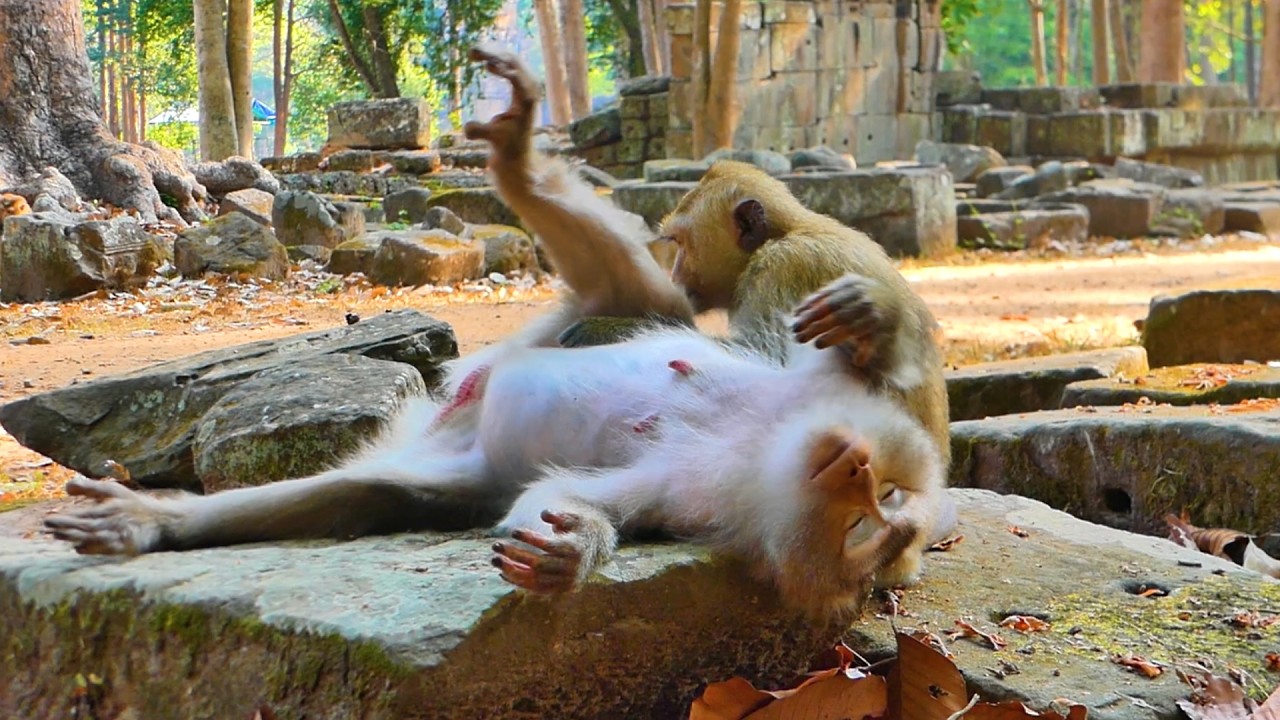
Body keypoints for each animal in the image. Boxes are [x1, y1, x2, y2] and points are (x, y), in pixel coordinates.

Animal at [41, 46, 956, 620]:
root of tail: (456, 405)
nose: (859, 468)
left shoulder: (706, 495)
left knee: (369, 492)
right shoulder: (820, 375)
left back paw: (163, 521)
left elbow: (568, 496)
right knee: (640, 294)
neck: (773, 439)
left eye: (874, 524)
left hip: (447, 457)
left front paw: (570, 552)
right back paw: (518, 160)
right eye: (885, 500)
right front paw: (872, 320)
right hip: (574, 323)